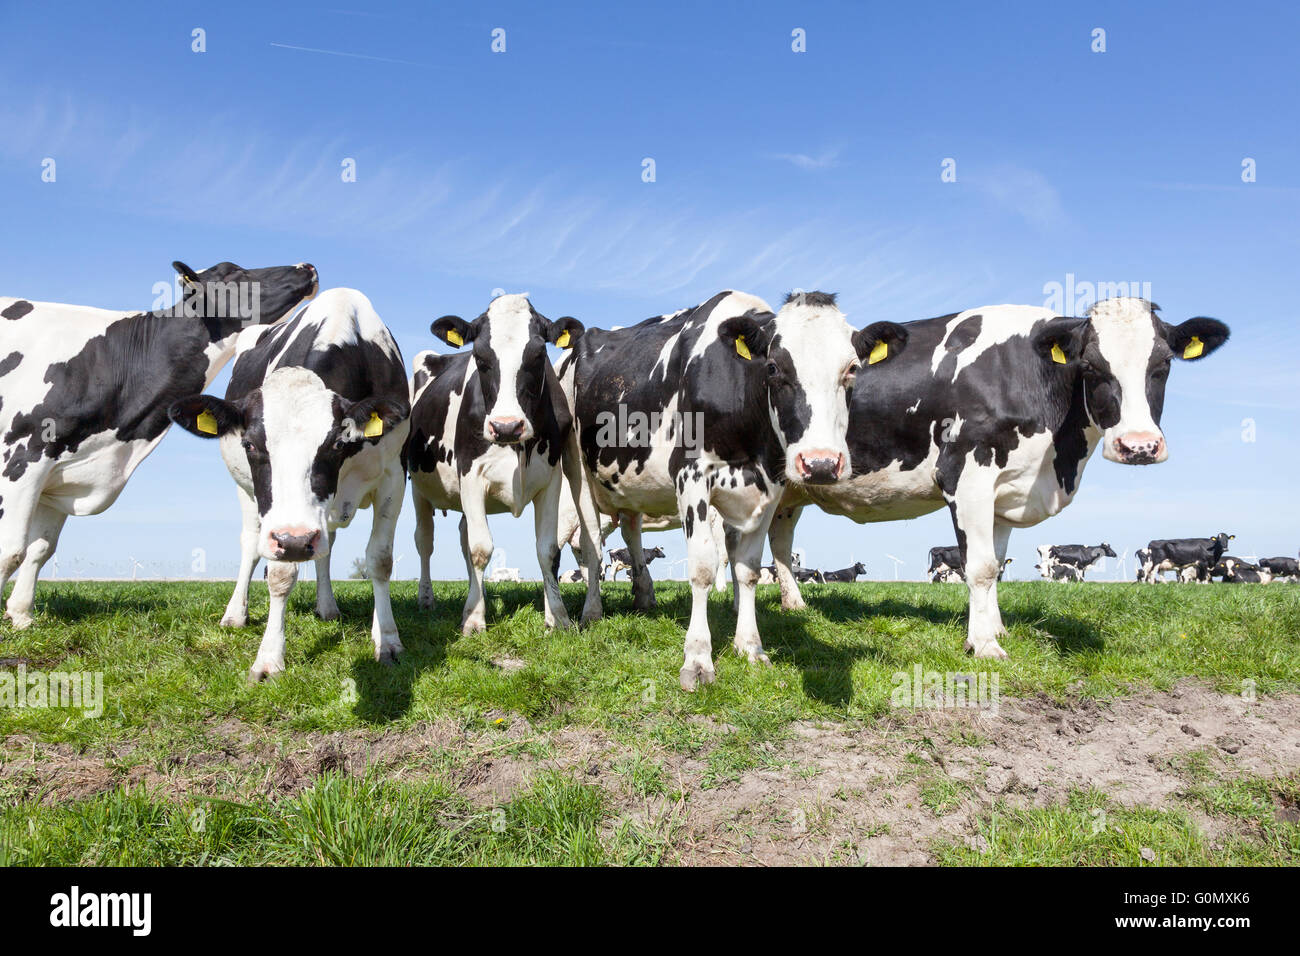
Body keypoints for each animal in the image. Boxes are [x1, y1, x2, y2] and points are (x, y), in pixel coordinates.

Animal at [0, 259, 318, 629]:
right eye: (233, 274)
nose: (307, 265)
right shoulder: (24, 454)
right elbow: (12, 550)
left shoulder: (64, 472)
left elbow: (40, 549)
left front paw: (21, 615)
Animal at [168, 288, 409, 680]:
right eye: (250, 444)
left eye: (337, 444)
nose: (295, 540)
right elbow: (279, 573)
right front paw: (269, 658)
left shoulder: (393, 476)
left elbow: (380, 560)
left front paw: (386, 640)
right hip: (248, 493)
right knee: (251, 544)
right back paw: (235, 614)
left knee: (326, 546)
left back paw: (327, 607)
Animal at [406, 293, 583, 635]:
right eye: (479, 356)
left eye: (539, 353)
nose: (506, 426)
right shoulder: (471, 475)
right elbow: (480, 548)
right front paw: (474, 620)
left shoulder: (551, 479)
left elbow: (547, 550)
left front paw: (557, 618)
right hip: (418, 487)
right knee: (424, 541)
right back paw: (427, 599)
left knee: (463, 535)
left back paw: (479, 594)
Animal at [562, 289, 908, 689]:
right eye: (772, 368)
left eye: (852, 369)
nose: (820, 463)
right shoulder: (691, 475)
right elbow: (702, 568)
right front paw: (698, 659)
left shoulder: (770, 487)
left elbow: (749, 569)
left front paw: (751, 647)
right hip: (578, 473)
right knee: (590, 545)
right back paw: (591, 612)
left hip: (632, 483)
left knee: (632, 530)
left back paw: (644, 596)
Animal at [764, 298, 1229, 656]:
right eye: (1092, 366)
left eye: (1163, 364)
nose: (1139, 446)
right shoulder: (965, 475)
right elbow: (982, 566)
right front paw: (984, 645)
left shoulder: (1005, 492)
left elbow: (998, 563)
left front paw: (997, 628)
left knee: (780, 541)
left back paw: (794, 605)